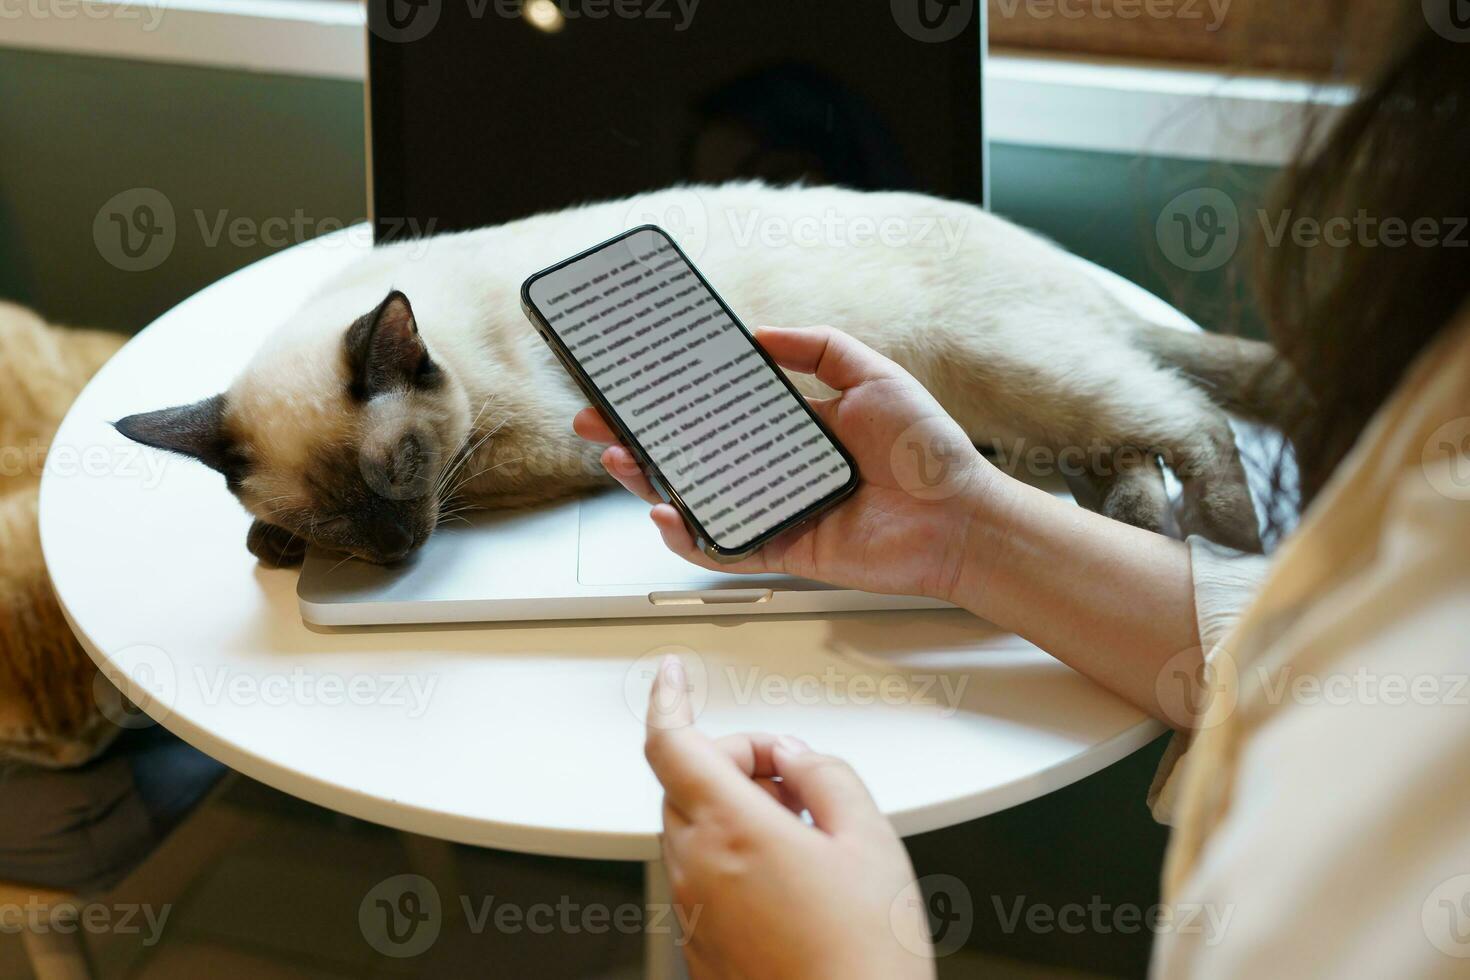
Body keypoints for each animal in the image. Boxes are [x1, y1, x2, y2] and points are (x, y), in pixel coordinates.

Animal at [117, 183, 1299, 567]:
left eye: (404, 469)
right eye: (334, 518)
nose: (398, 552)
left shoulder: (522, 445)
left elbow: (475, 479)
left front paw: (269, 550)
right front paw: (271, 546)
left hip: (1012, 366)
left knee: (1187, 416)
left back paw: (1229, 537)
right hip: (1025, 413)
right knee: (1125, 451)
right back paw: (1144, 533)